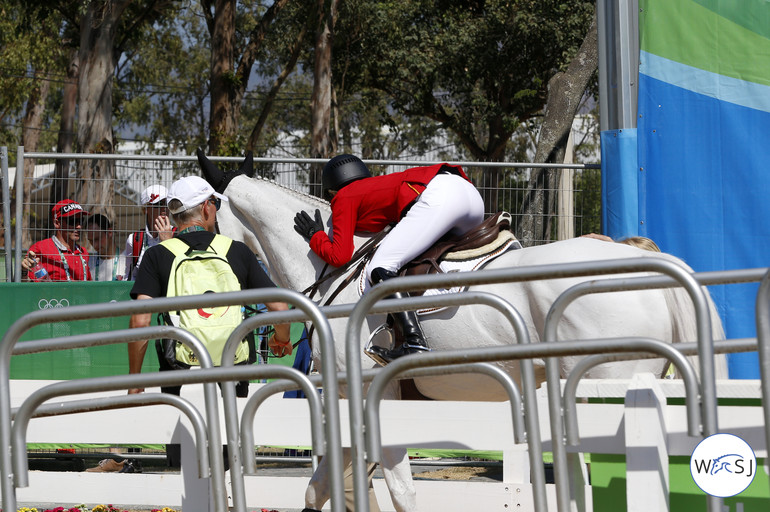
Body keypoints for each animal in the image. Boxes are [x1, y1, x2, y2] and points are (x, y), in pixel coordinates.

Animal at [200, 153, 728, 512]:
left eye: (208, 211)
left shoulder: (373, 392)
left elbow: (400, 489)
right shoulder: (354, 398)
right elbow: (322, 488)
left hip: (608, 385)